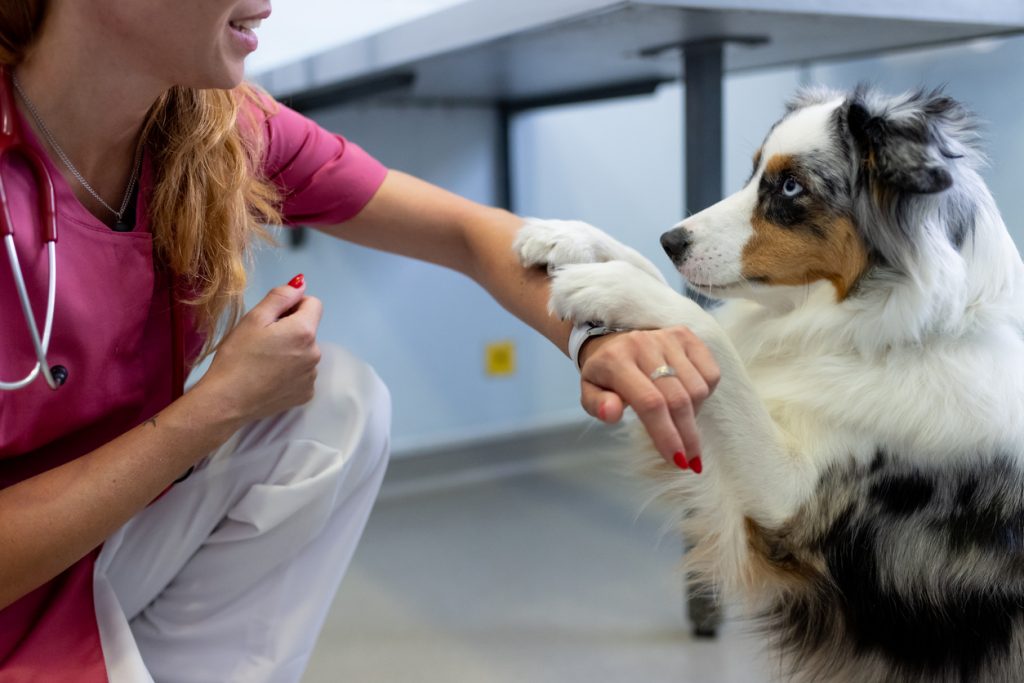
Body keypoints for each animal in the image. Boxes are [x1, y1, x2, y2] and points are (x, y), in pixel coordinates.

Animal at [516, 87, 1024, 683]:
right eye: (755, 170)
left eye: (790, 188)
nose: (670, 240)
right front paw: (570, 236)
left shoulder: (789, 503)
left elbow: (707, 331)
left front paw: (612, 286)